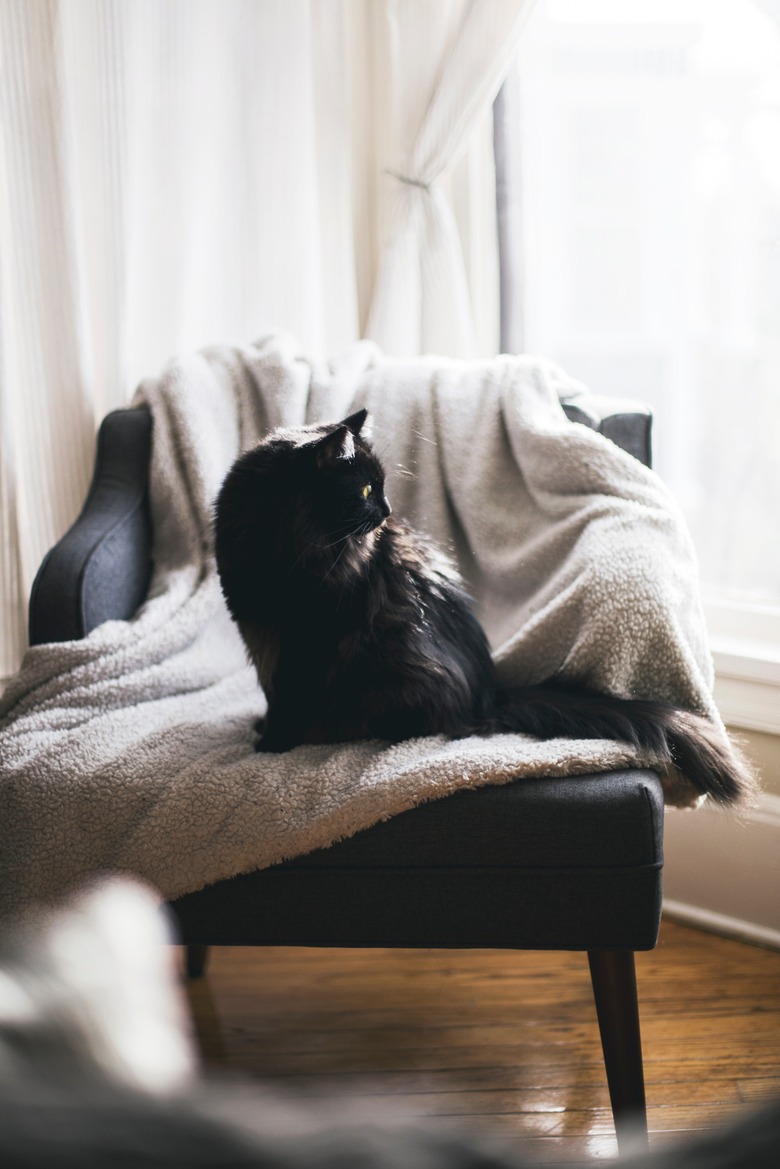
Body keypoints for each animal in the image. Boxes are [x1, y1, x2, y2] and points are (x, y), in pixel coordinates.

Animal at [214, 409, 757, 804]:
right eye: (366, 490)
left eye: (382, 486)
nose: (388, 512)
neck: (274, 548)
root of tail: (487, 695)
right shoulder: (260, 632)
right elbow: (274, 694)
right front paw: (266, 733)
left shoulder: (306, 641)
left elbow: (289, 700)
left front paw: (271, 745)